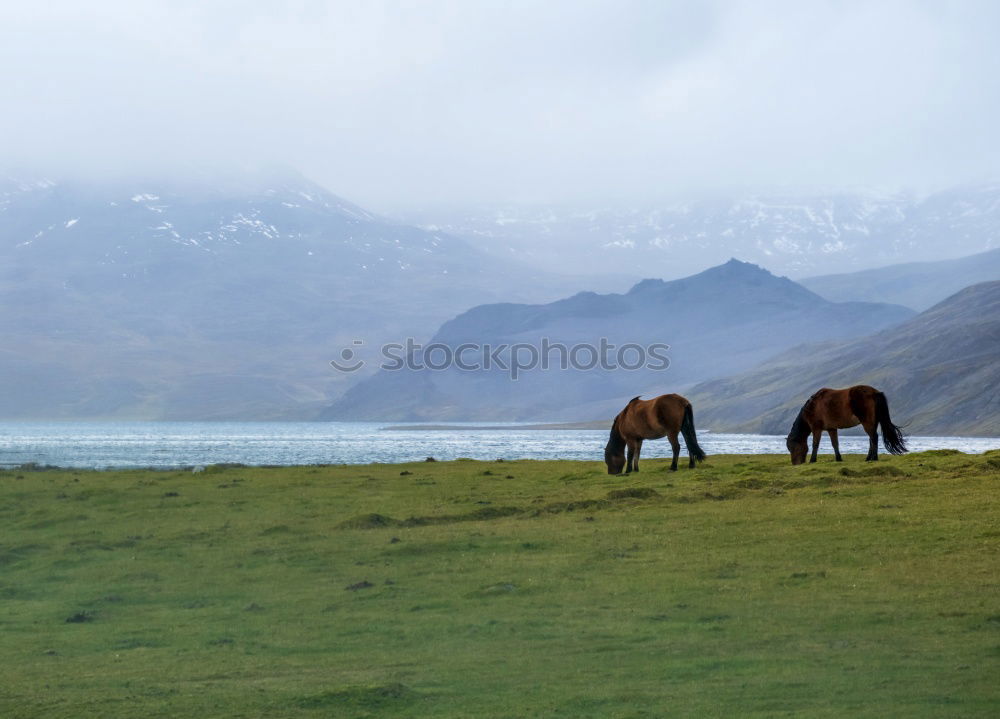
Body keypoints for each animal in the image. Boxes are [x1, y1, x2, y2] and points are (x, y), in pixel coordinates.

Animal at [784, 382, 912, 466]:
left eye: (792, 447)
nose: (795, 464)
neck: (812, 407)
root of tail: (875, 393)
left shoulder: (817, 428)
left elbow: (815, 444)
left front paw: (812, 460)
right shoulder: (831, 429)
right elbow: (835, 444)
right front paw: (838, 458)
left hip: (867, 422)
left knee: (873, 437)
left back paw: (874, 458)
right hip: (873, 422)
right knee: (871, 438)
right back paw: (868, 458)